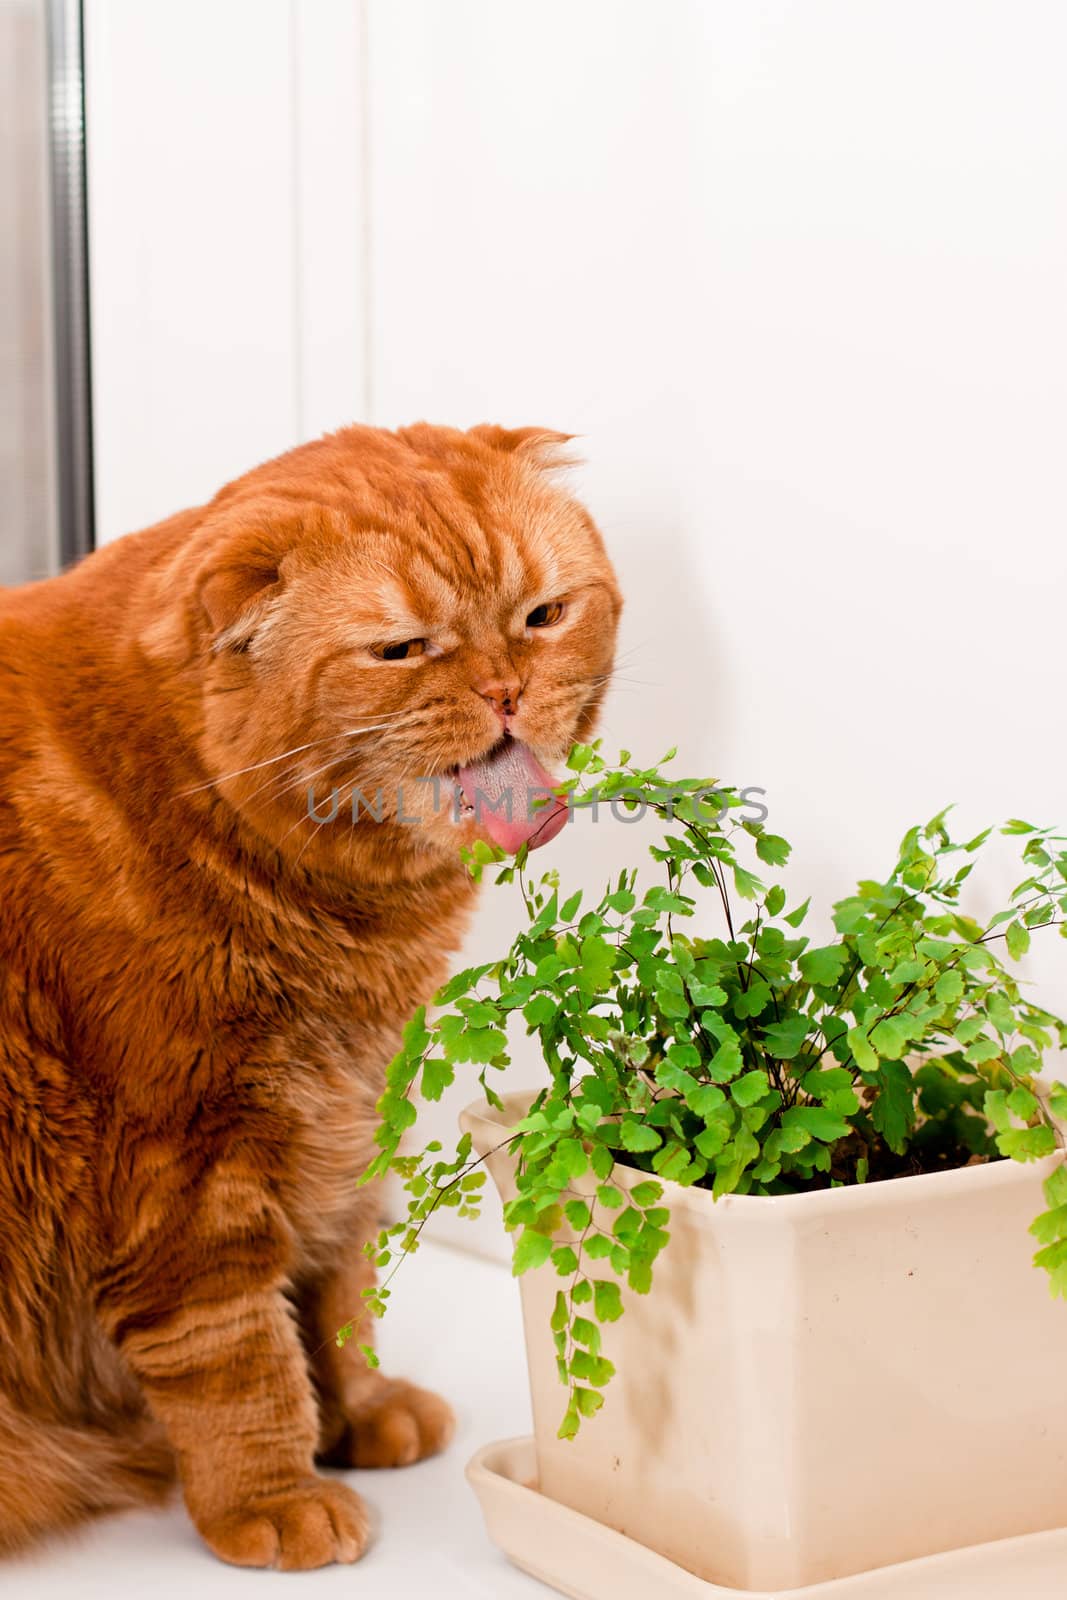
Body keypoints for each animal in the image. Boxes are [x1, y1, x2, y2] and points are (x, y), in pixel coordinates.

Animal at [0, 419, 620, 1568]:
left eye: (542, 618)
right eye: (403, 650)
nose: (506, 691)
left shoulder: (340, 1116)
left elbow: (335, 1292)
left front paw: (358, 1413)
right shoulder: (184, 1172)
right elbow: (237, 1356)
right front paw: (273, 1494)